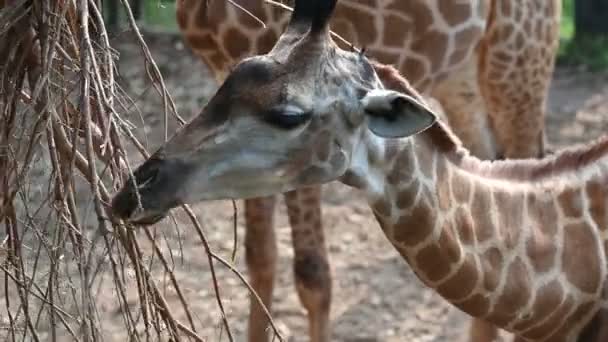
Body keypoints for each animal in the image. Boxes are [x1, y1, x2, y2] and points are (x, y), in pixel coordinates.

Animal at [110, 0, 608, 342]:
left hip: (518, 59)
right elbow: (259, 257)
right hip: (464, 73)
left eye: (289, 115)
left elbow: (311, 273)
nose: (132, 192)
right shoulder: (219, 62)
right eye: (224, 92)